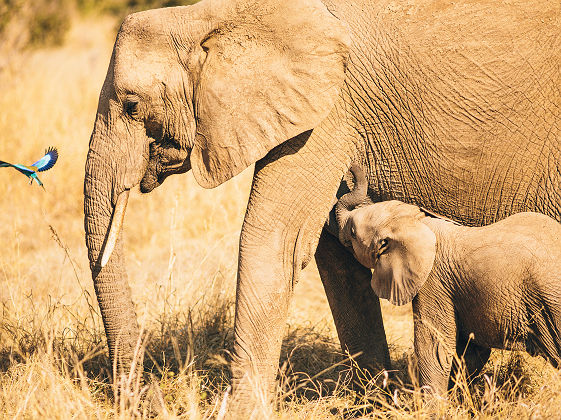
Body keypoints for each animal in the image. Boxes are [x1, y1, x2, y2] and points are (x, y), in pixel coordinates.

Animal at [334, 163, 560, 394]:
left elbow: (433, 347)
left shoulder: (435, 283)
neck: (420, 222)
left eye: (353, 232)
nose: (352, 167)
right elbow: (470, 352)